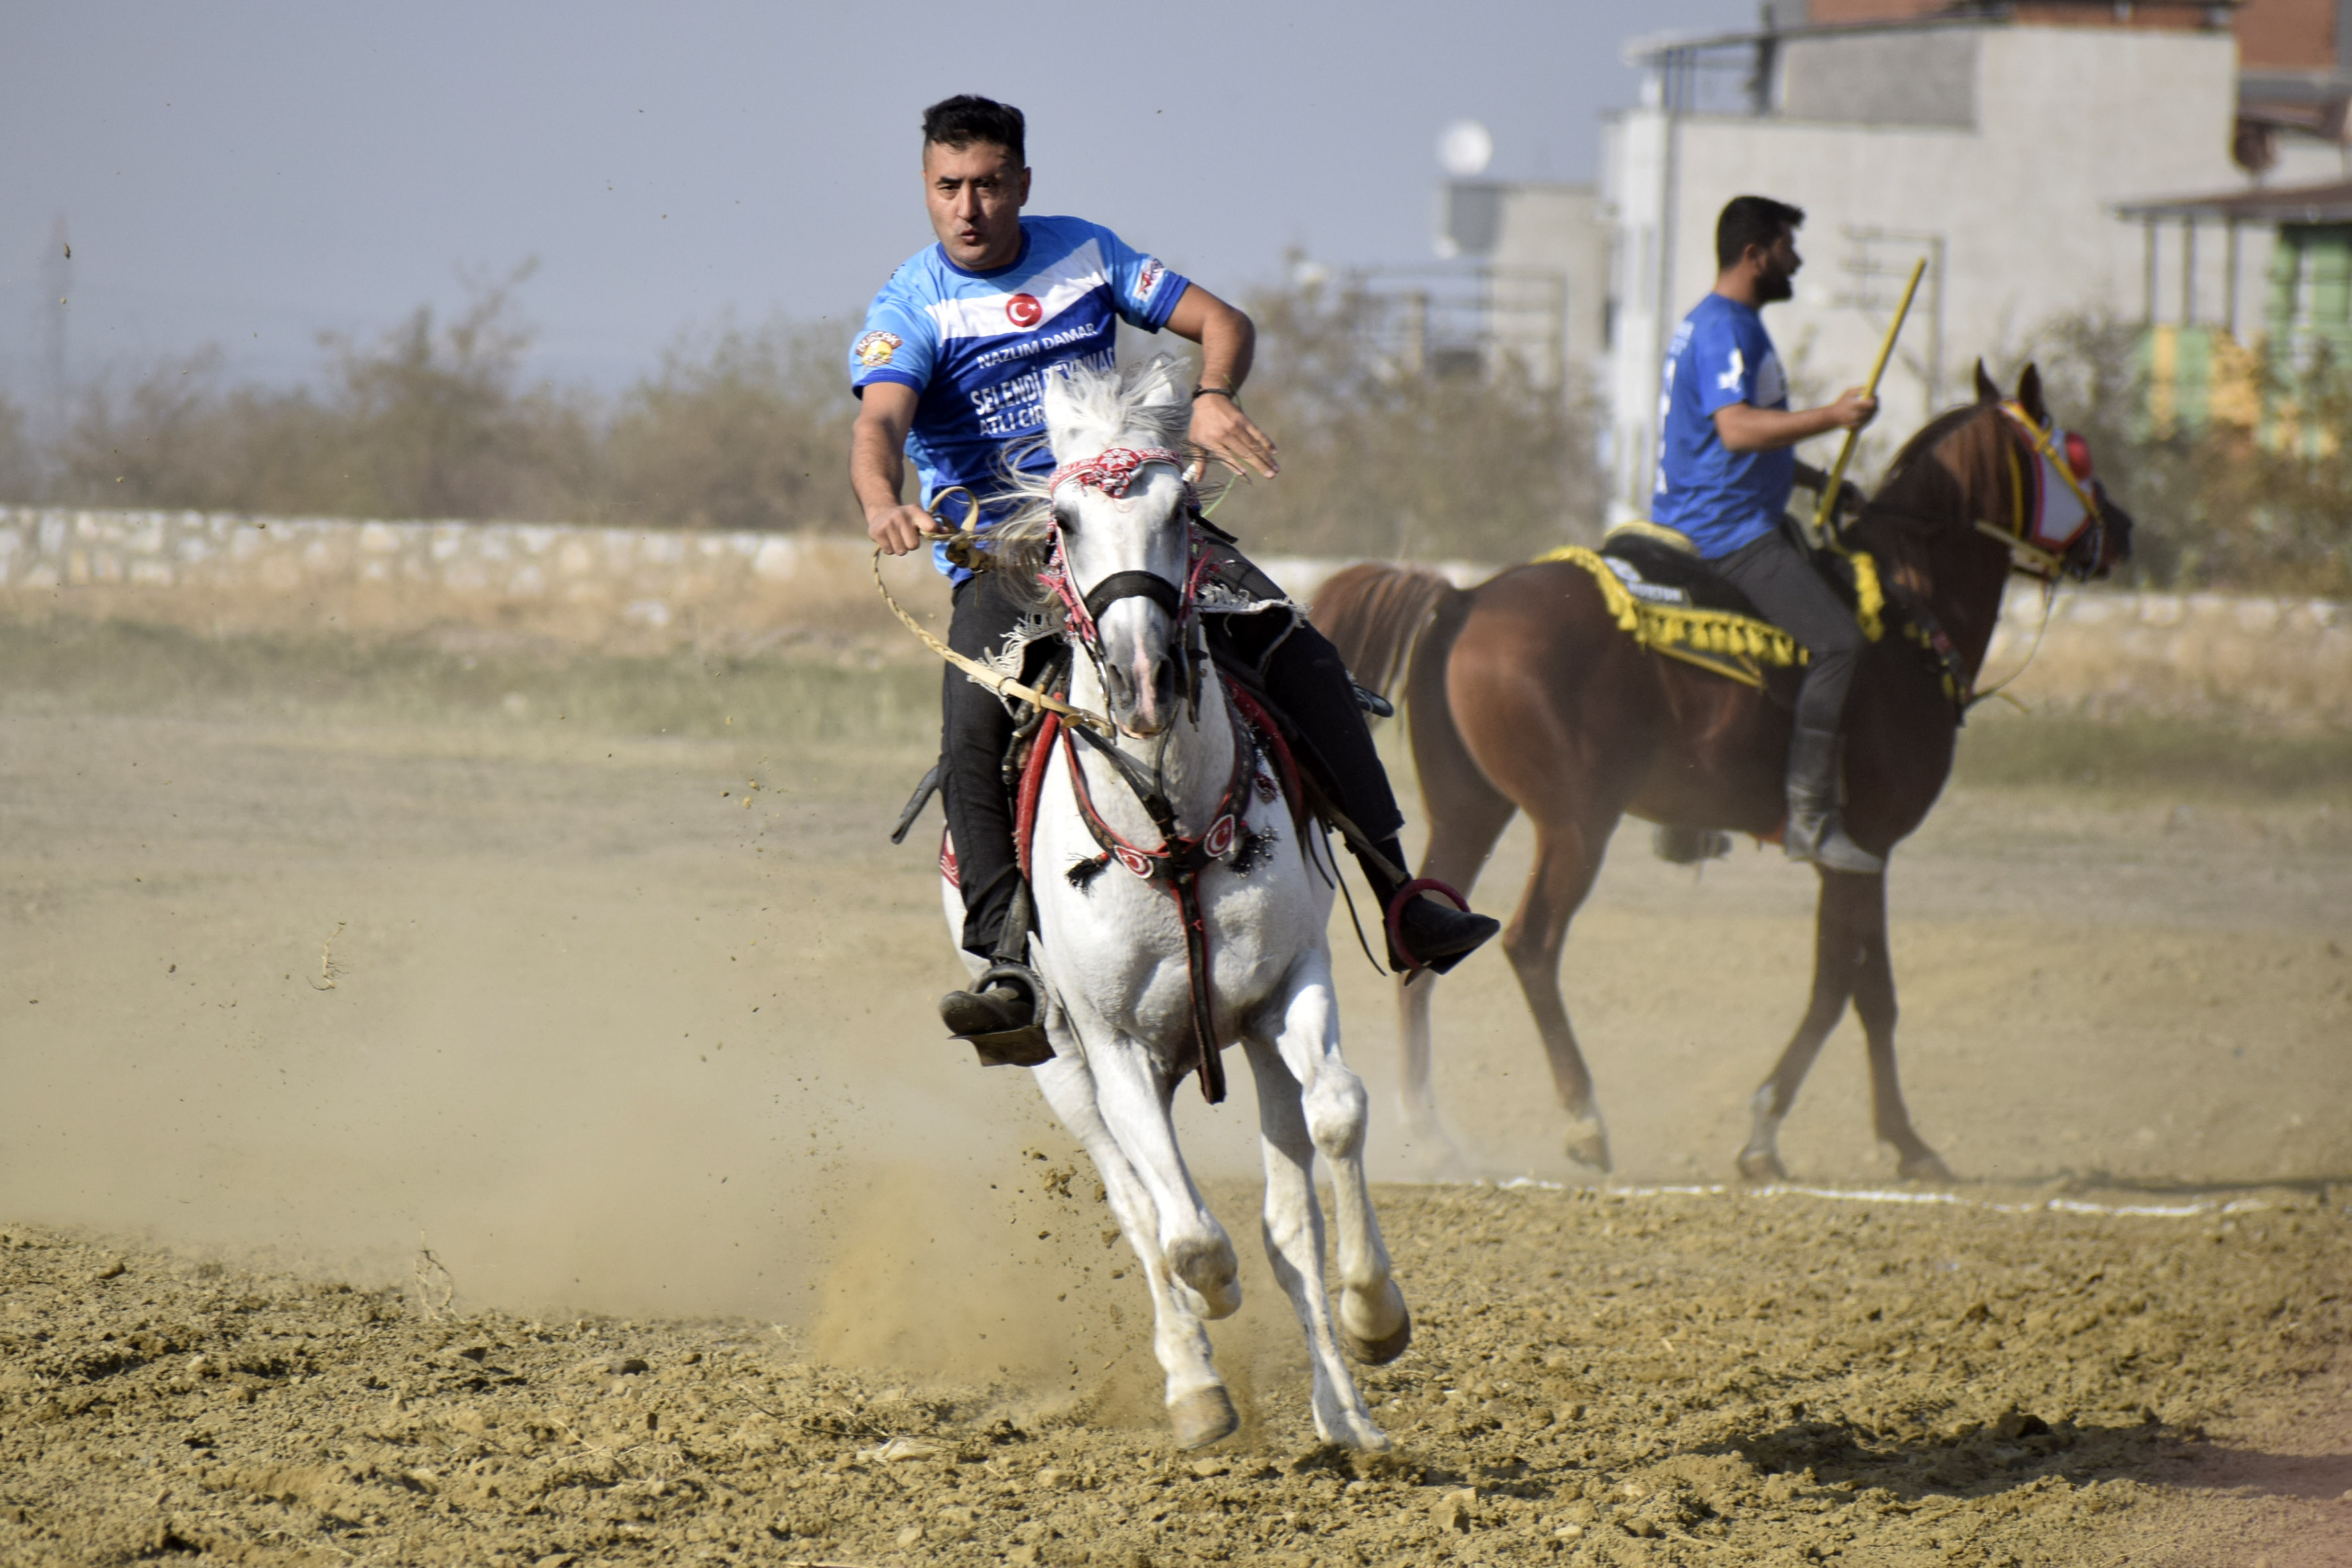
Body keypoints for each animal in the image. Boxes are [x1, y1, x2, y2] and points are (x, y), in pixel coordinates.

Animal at [941, 359, 1411, 1457]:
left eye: (1183, 510)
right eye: (1062, 520)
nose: (1145, 676)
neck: (1171, 820)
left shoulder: (1287, 988)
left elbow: (1335, 1117)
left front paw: (1375, 1316)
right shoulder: (1110, 1046)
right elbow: (1184, 1232)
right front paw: (1209, 1320)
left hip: (1245, 1043)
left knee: (1289, 1219)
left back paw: (1343, 1413)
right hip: (1061, 1068)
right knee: (1139, 1207)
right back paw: (1195, 1384)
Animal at [1317, 364, 2145, 1175]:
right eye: (2073, 453)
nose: (2125, 530)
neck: (1907, 610)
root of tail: (1463, 597)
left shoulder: (1862, 855)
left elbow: (1867, 991)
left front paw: (1895, 1139)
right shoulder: (1859, 848)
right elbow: (1842, 987)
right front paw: (1779, 1131)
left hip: (1471, 809)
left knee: (1423, 932)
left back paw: (1432, 1132)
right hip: (1575, 824)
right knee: (1534, 944)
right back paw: (1583, 1120)